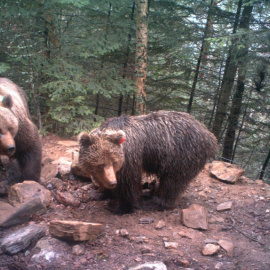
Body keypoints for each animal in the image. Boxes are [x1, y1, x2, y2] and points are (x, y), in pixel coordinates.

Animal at [77, 109, 217, 213]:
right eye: (100, 165)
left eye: (114, 162)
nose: (112, 183)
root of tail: (209, 136)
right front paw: (99, 193)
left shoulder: (130, 158)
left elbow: (129, 183)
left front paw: (120, 206)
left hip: (181, 156)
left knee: (172, 182)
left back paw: (158, 202)